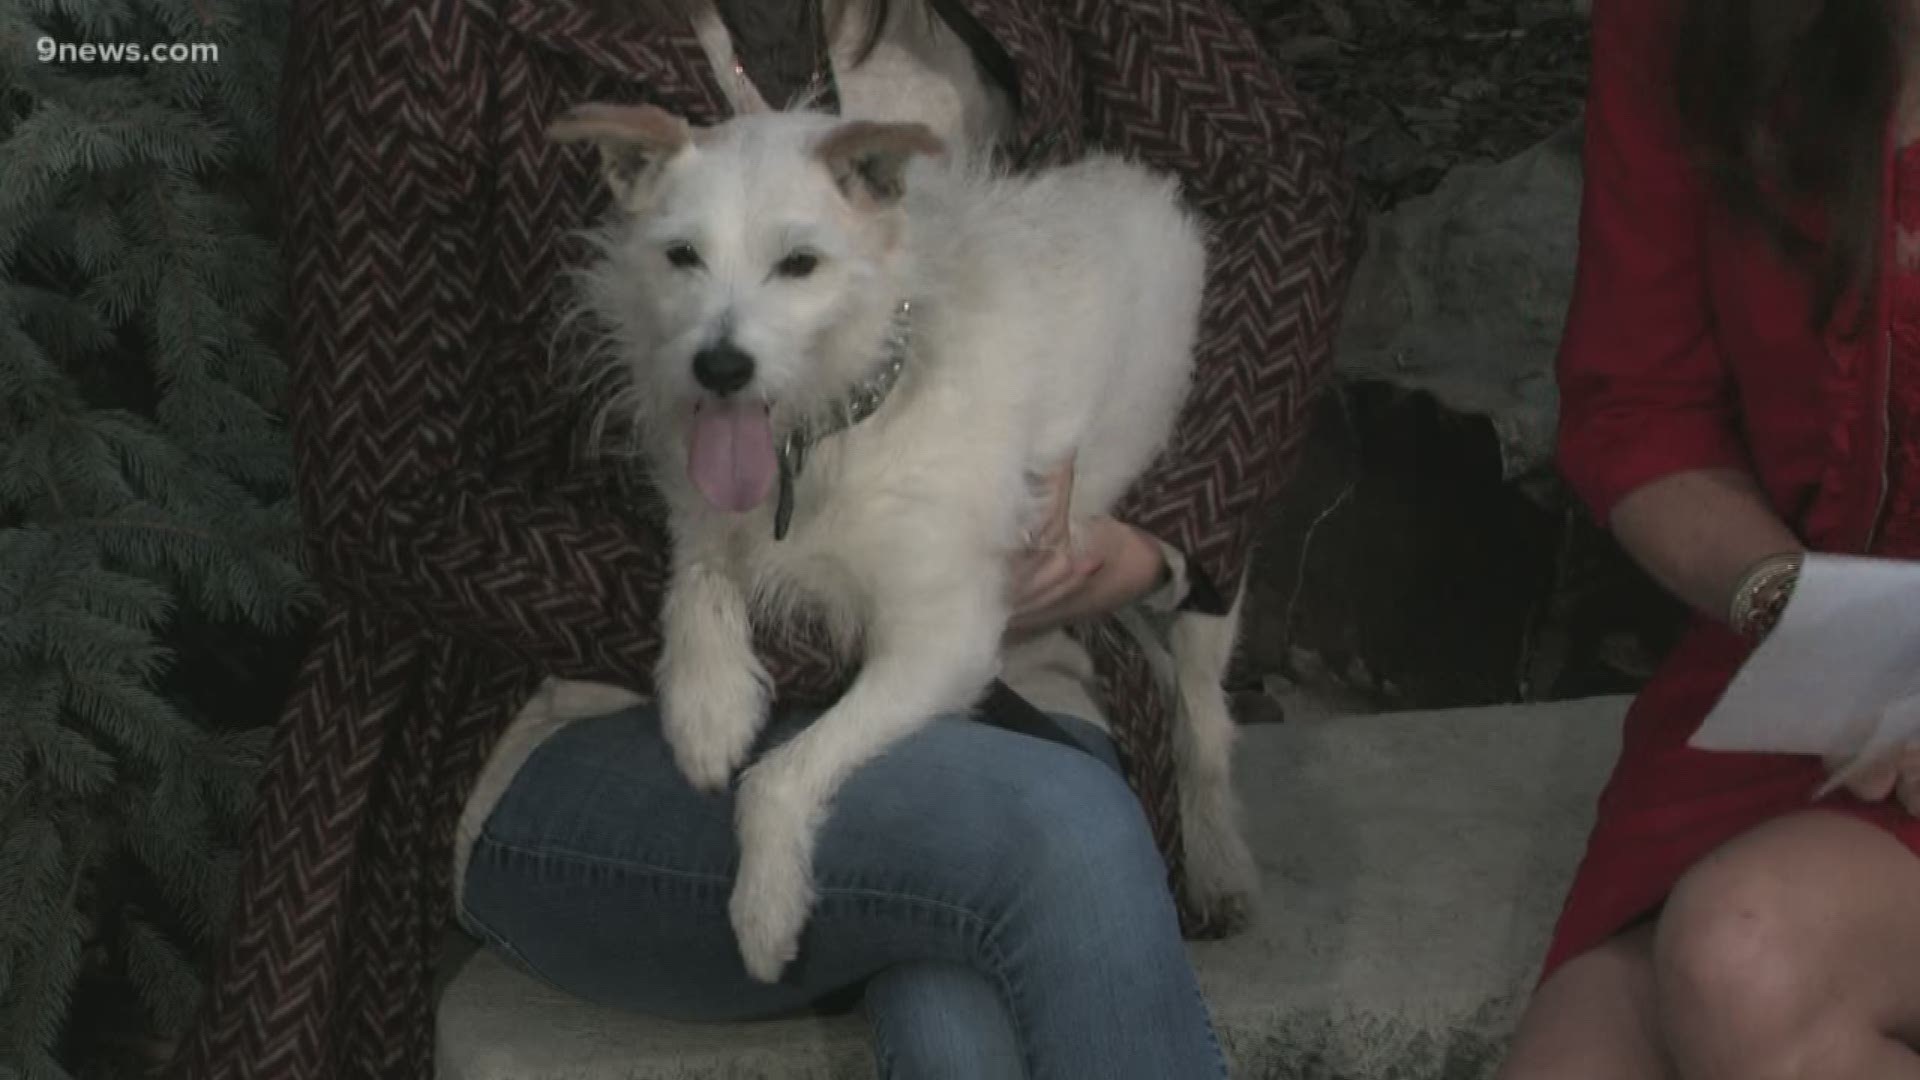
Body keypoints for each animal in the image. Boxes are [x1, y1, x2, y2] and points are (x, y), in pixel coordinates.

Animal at [552, 105, 1259, 980]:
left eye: (800, 263)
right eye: (682, 255)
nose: (719, 366)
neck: (825, 437)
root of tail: (1153, 191)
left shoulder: (940, 642)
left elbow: (779, 776)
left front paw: (764, 907)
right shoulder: (704, 520)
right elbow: (697, 584)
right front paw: (708, 708)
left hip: (1203, 580)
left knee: (1203, 716)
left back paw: (1218, 857)